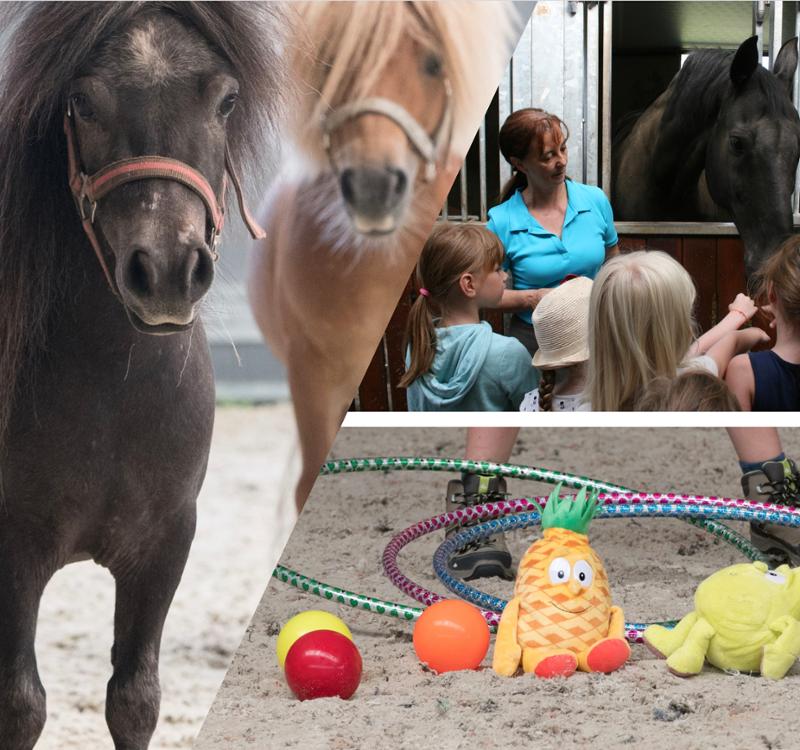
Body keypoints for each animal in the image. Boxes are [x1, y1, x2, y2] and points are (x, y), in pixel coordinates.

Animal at [0, 3, 283, 748]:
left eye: (226, 100)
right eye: (81, 103)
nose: (165, 273)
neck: (112, 389)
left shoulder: (163, 546)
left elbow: (134, 700)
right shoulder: (15, 551)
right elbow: (20, 704)